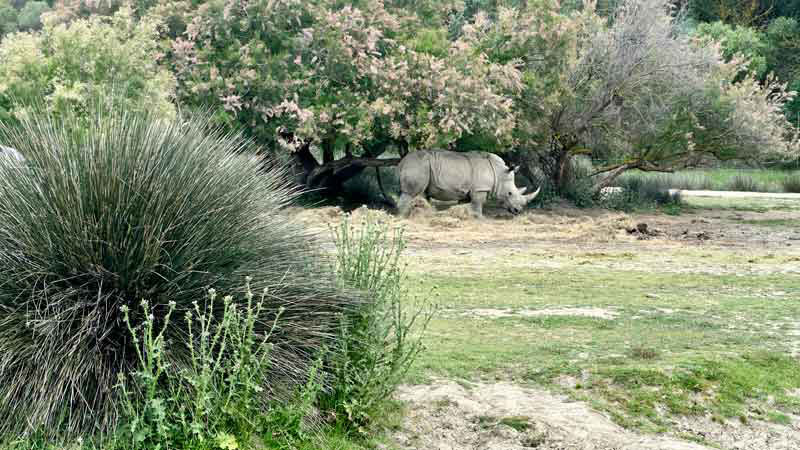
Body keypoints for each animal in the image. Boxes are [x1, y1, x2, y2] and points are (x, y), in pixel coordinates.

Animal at [396, 150, 540, 218]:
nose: (518, 211)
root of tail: (402, 162)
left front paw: (464, 216)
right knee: (411, 193)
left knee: (423, 194)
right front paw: (480, 219)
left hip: (423, 166)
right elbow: (478, 204)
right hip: (419, 165)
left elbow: (465, 205)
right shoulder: (480, 189)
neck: (499, 173)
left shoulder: (466, 190)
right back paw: (403, 217)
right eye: (509, 193)